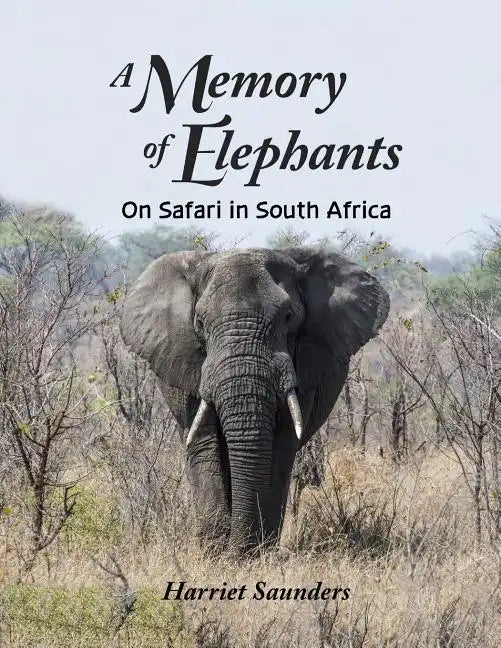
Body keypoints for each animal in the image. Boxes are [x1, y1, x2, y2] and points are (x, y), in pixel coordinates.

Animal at [119, 246, 389, 556]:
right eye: (200, 322)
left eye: (288, 317)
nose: (235, 552)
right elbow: (204, 442)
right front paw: (216, 552)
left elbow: (282, 443)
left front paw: (257, 551)